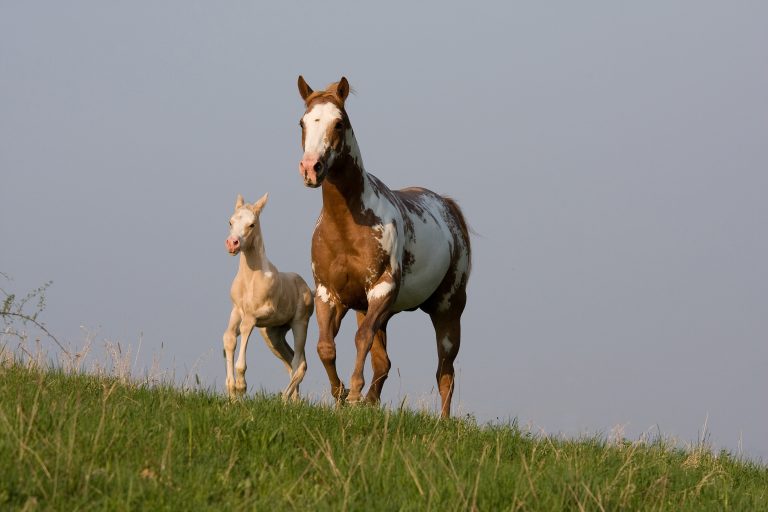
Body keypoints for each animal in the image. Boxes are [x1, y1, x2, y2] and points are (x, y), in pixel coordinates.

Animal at [222, 193, 314, 400]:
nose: (232, 244)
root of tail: (308, 289)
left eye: (252, 224)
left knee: (300, 364)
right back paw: (294, 401)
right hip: (273, 334)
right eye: (231, 222)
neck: (250, 280)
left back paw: (283, 399)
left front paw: (240, 386)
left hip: (300, 324)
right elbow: (229, 338)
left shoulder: (259, 313)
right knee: (290, 361)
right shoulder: (236, 311)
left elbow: (245, 327)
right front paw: (231, 392)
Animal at [296, 76, 472, 418]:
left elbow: (361, 339)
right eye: (302, 122)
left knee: (445, 372)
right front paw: (340, 395)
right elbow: (326, 347)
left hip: (448, 309)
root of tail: (447, 208)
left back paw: (443, 421)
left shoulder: (382, 289)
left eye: (339, 123)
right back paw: (370, 401)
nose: (311, 168)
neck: (347, 228)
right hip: (375, 311)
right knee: (384, 363)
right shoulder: (328, 294)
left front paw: (352, 394)